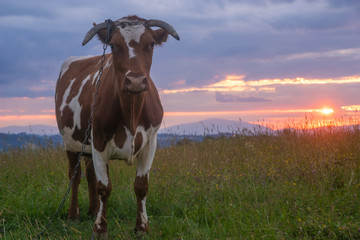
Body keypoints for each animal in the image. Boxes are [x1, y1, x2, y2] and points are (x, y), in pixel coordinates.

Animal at [55, 15, 180, 238]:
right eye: (113, 45)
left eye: (150, 44)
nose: (135, 81)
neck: (131, 112)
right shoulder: (98, 140)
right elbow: (104, 187)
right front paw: (100, 228)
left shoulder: (150, 141)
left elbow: (141, 186)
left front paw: (142, 227)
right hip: (71, 142)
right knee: (75, 176)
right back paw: (73, 214)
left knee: (89, 173)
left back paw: (93, 210)